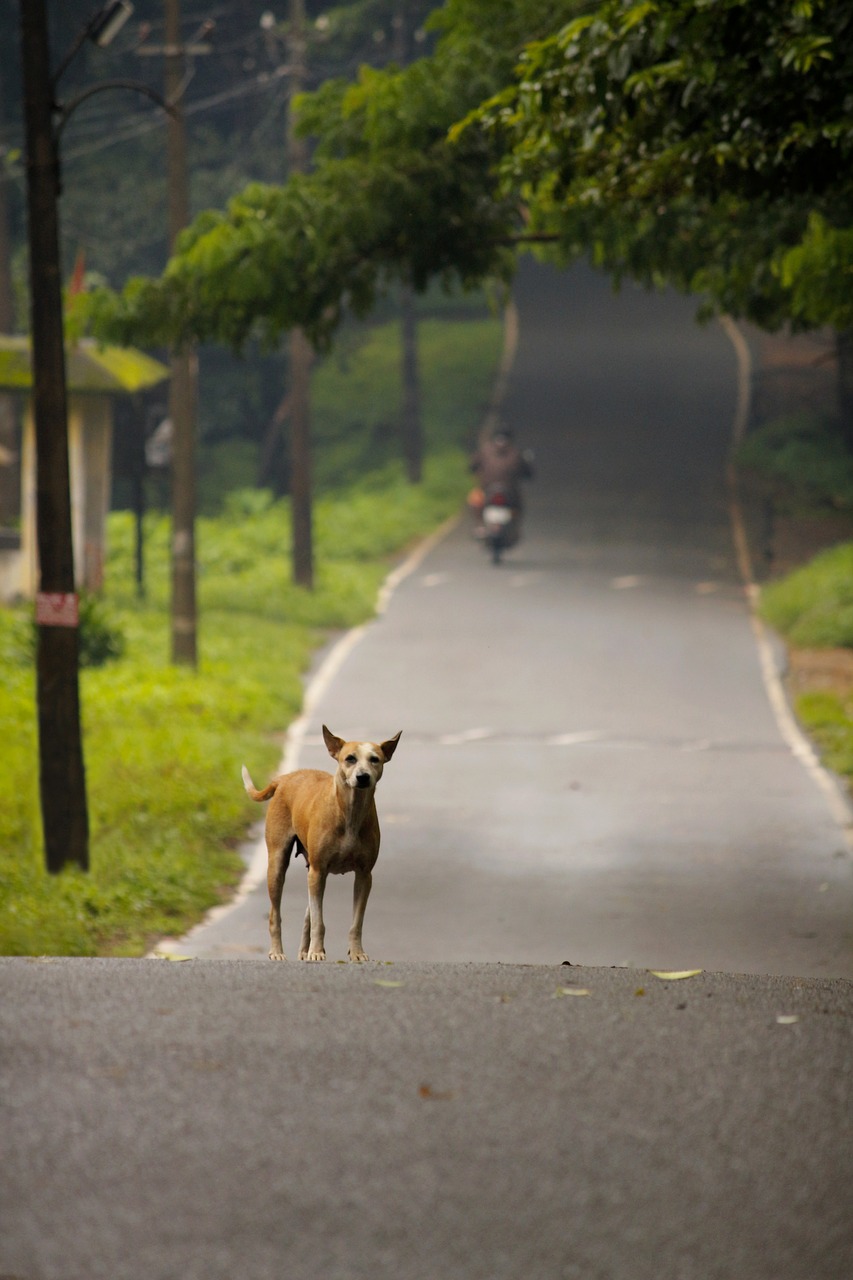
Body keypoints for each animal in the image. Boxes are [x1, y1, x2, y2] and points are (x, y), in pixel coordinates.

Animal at [239, 732, 399, 962]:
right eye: (350, 758)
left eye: (374, 759)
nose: (363, 777)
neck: (349, 812)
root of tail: (284, 778)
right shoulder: (318, 871)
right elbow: (318, 921)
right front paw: (316, 951)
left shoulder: (364, 875)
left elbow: (356, 922)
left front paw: (357, 952)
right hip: (279, 864)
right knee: (275, 914)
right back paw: (278, 951)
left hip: (312, 870)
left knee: (308, 914)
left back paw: (304, 951)